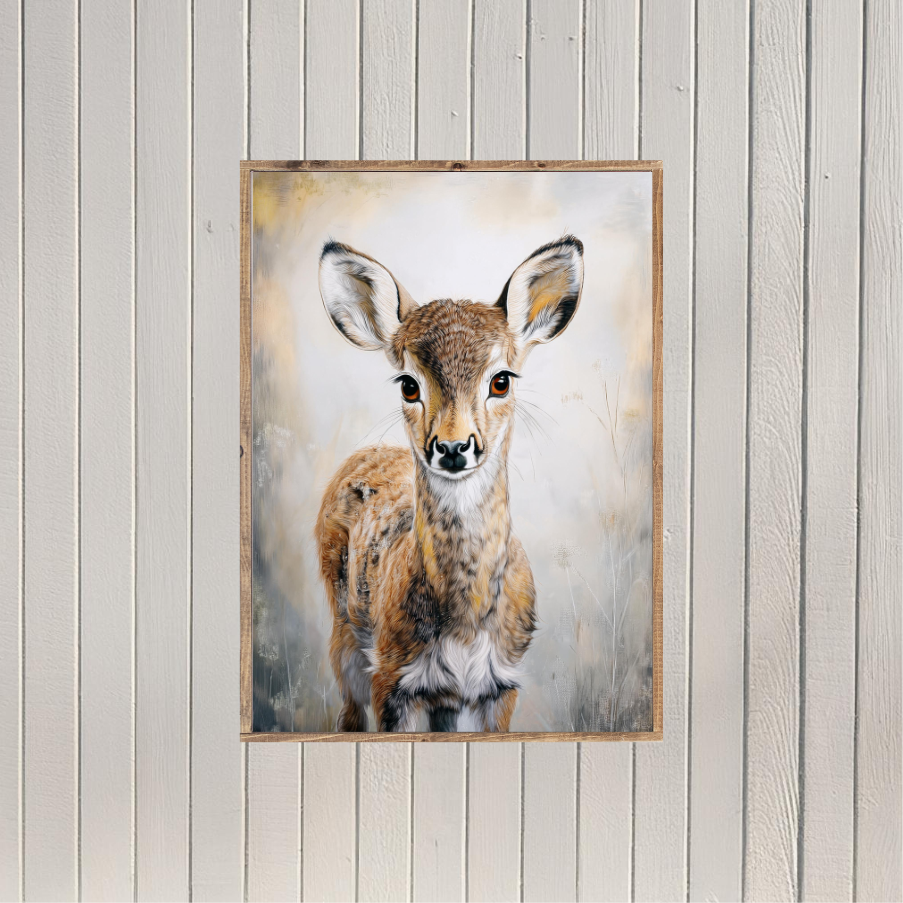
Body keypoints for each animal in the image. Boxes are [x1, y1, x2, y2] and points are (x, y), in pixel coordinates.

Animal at [315, 235, 584, 732]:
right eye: (408, 384)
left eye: (501, 380)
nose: (453, 446)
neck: (465, 623)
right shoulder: (390, 677)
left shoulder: (501, 684)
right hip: (344, 632)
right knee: (347, 714)